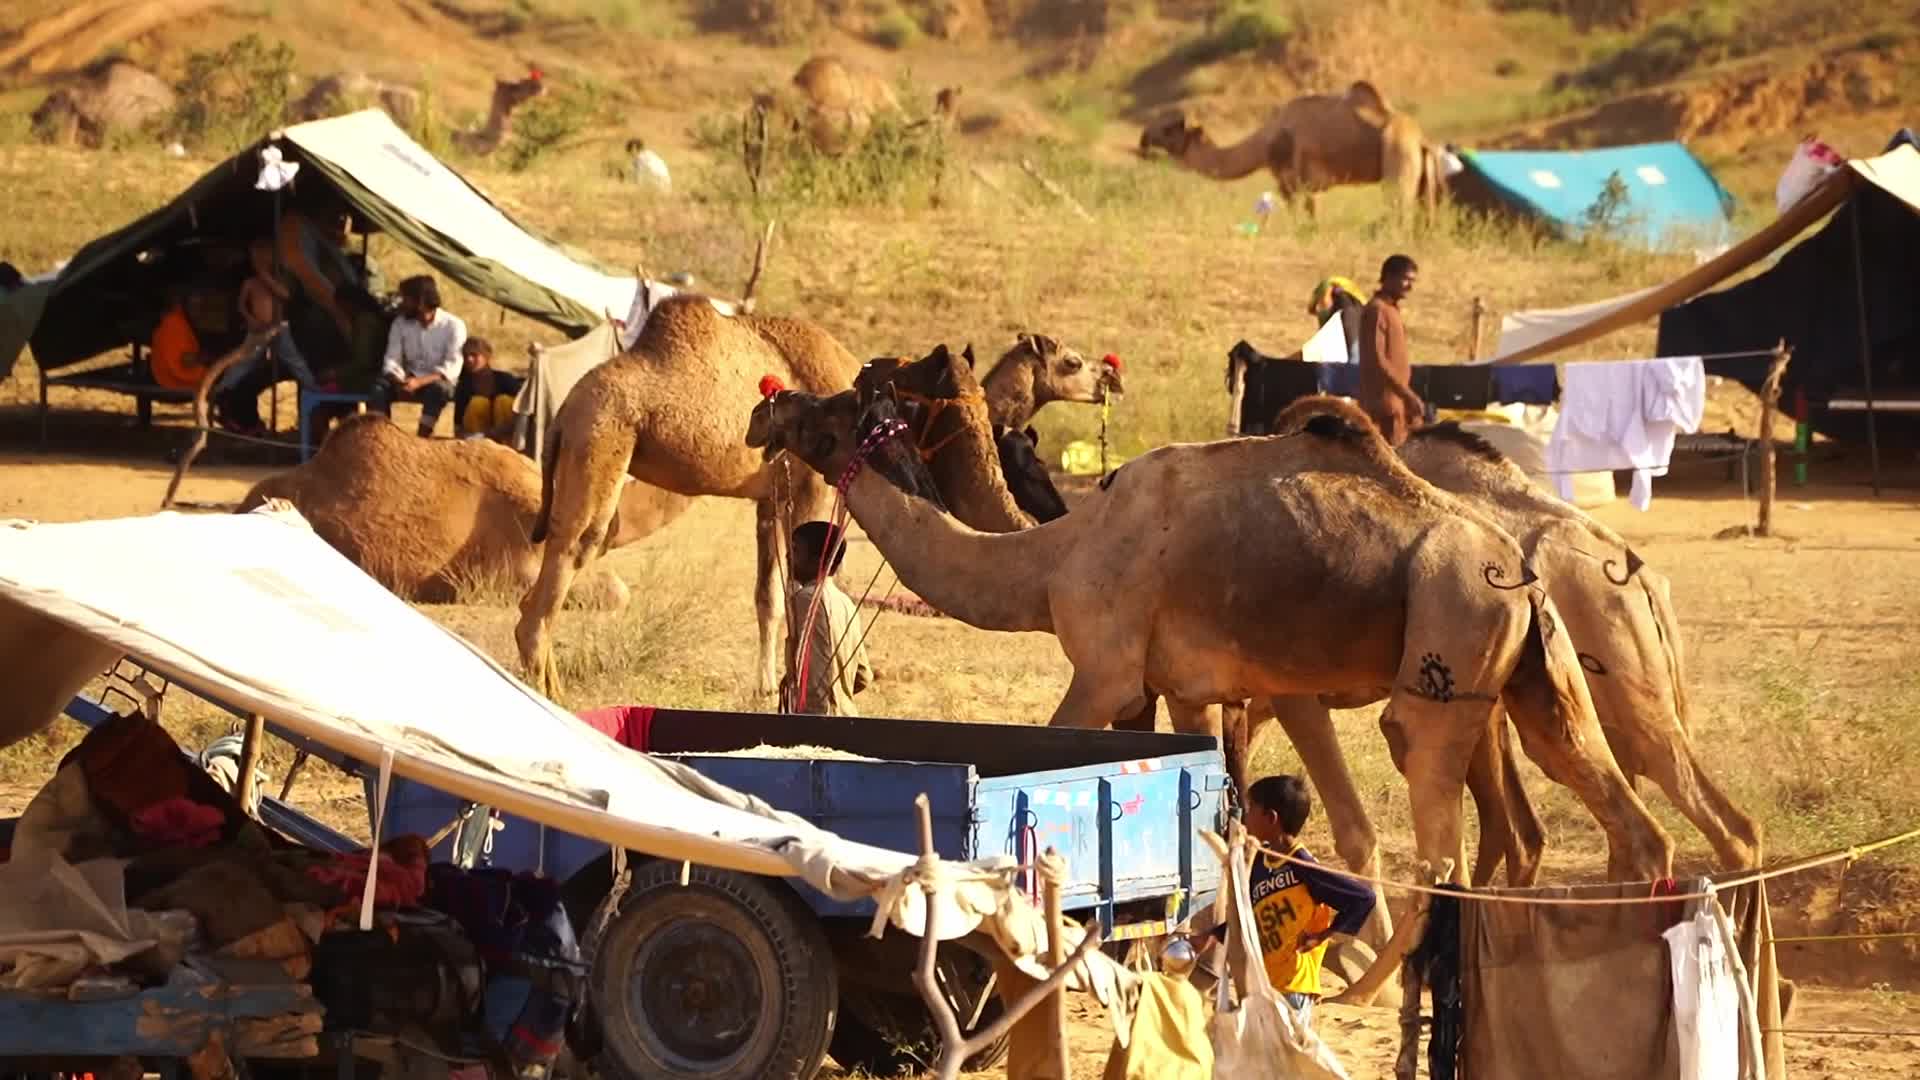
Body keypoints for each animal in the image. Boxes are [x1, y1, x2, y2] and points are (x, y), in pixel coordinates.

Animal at [516, 295, 865, 697]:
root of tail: (562, 416)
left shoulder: (771, 499)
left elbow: (769, 596)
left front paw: (765, 688)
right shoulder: (814, 489)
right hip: (599, 440)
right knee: (570, 554)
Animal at [747, 369, 1676, 889]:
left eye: (832, 415)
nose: (768, 407)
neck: (1054, 557)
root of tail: (1518, 569)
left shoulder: (1109, 669)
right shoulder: (1192, 688)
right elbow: (1212, 817)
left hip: (1454, 627)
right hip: (1533, 670)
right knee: (1619, 815)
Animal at [1138, 81, 1442, 217]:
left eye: (1169, 128)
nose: (1144, 138)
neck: (1265, 141)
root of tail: (1422, 140)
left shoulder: (1291, 182)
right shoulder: (1311, 188)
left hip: (1397, 159)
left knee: (1398, 211)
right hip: (1424, 176)